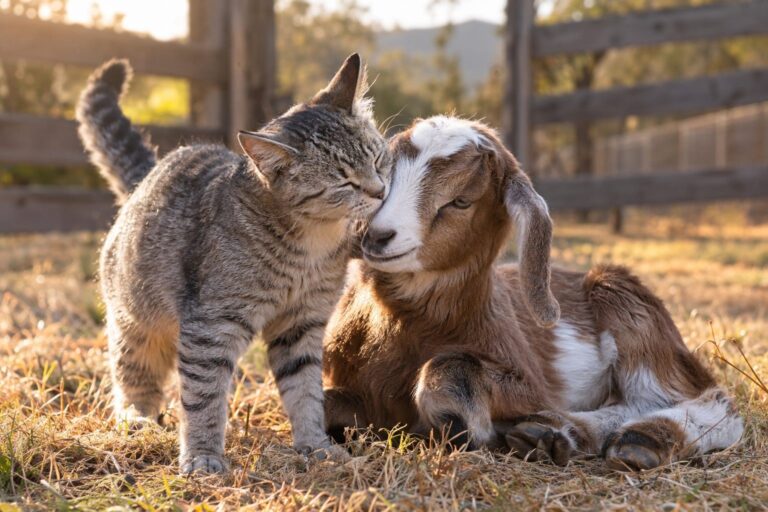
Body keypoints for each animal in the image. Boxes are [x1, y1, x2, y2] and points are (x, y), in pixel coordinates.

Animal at [322, 116, 743, 470]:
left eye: (461, 200)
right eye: (385, 173)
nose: (376, 235)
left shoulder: (529, 385)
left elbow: (453, 366)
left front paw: (460, 425)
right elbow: (326, 404)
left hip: (627, 306)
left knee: (707, 401)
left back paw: (632, 439)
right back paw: (554, 435)